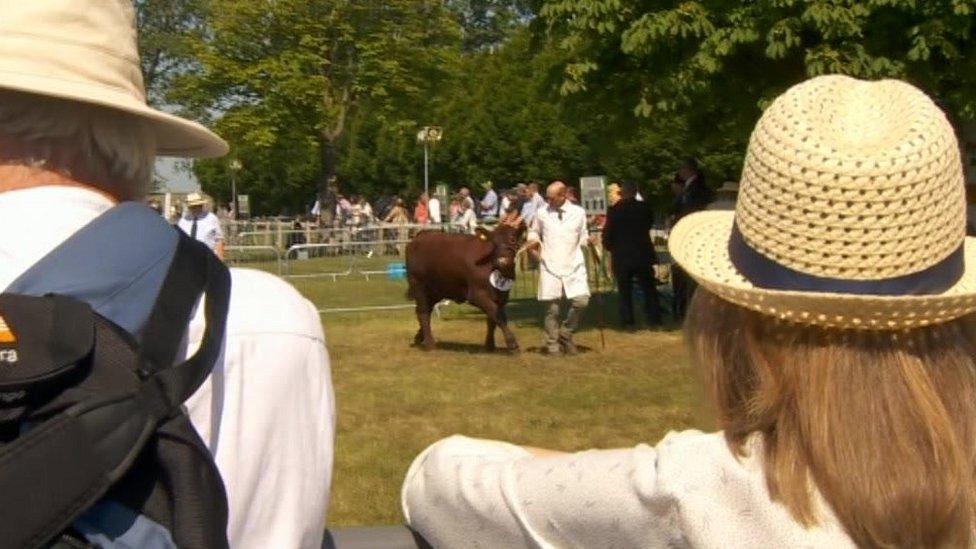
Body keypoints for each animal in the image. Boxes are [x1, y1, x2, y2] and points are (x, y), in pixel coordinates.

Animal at [406, 215, 528, 352]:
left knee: (425, 309)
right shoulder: (477, 295)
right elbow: (497, 316)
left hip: (435, 290)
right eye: (493, 243)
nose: (502, 261)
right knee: (423, 312)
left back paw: (419, 338)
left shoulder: (502, 296)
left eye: (512, 240)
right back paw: (430, 344)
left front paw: (489, 345)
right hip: (418, 285)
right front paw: (512, 342)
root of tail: (420, 236)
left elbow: (492, 319)